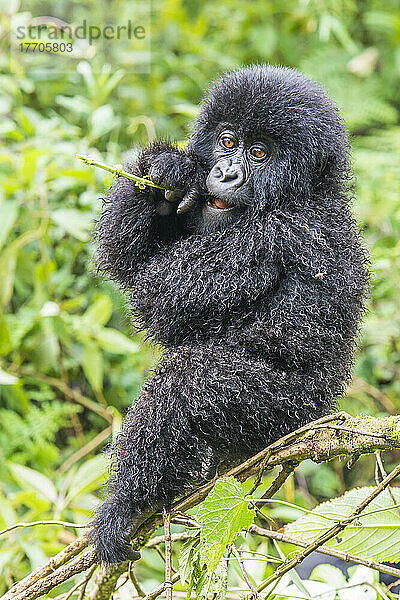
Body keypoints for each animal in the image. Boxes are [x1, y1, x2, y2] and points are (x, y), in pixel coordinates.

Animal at [88, 65, 368, 564]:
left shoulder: (275, 232)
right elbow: (124, 256)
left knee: (187, 384)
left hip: (284, 414)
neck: (305, 193)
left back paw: (126, 506)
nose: (226, 172)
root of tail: (325, 410)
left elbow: (157, 295)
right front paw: (167, 172)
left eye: (259, 154)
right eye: (228, 141)